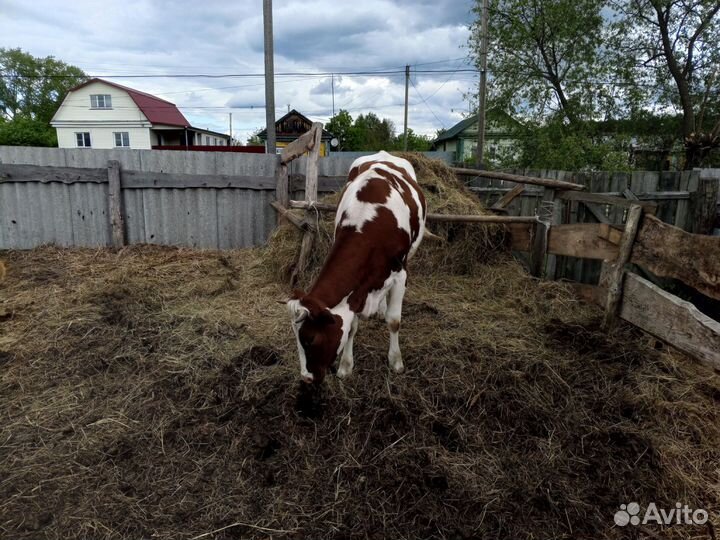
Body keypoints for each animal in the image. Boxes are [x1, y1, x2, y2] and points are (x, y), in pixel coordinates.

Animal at [287, 151, 426, 384]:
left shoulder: (400, 274)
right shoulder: (355, 292)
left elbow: (394, 321)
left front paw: (396, 362)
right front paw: (345, 366)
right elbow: (351, 326)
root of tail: (384, 153)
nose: (306, 378)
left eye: (310, 339)